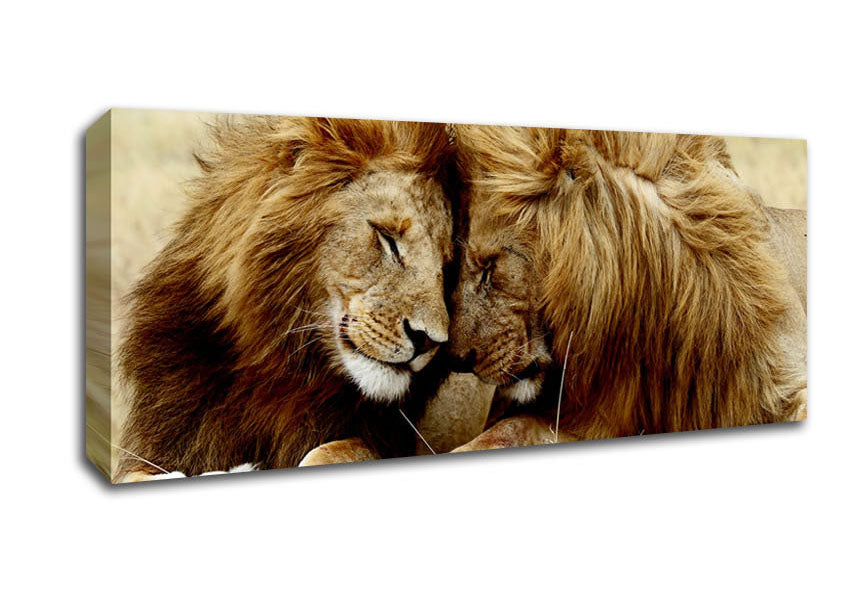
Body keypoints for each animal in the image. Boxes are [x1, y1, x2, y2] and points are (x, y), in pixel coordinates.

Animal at [116, 116, 469, 481]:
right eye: (387, 238)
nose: (429, 341)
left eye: (446, 266)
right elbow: (136, 474)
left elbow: (328, 451)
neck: (275, 362)